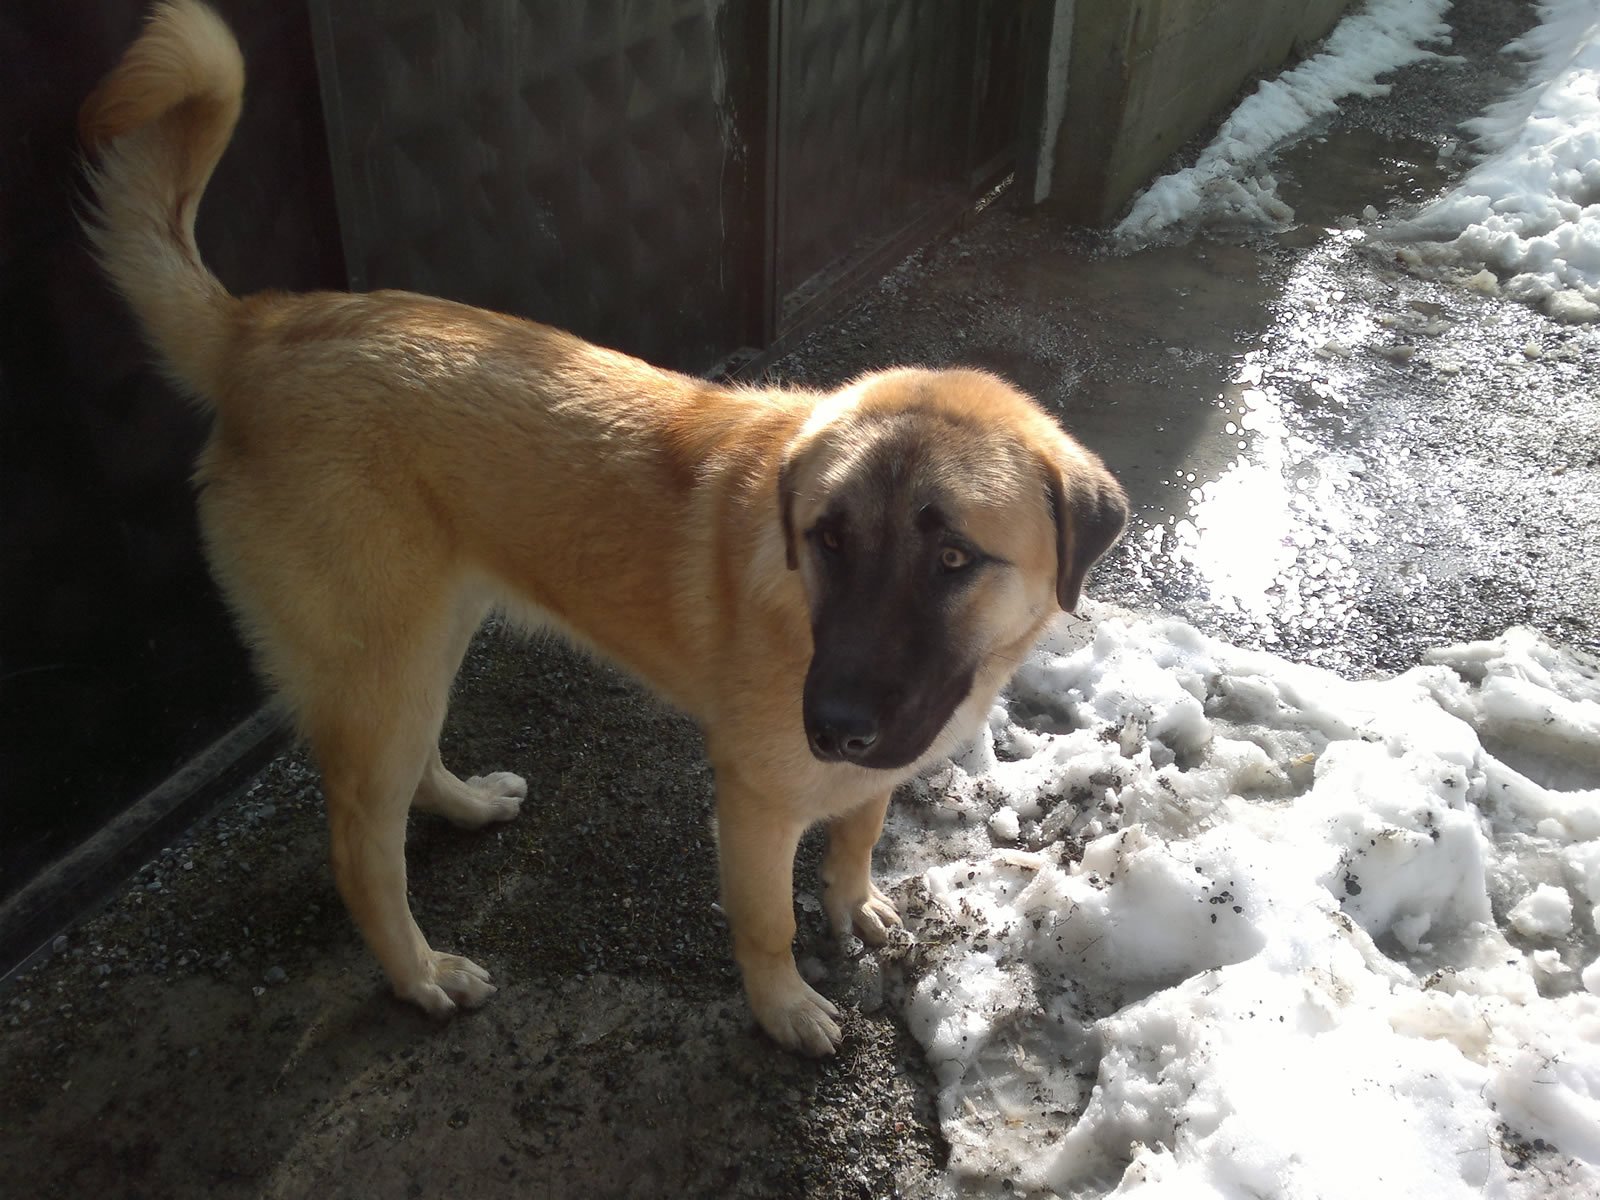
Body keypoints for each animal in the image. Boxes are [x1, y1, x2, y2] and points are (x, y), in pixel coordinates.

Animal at [80, 0, 1127, 1055]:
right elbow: (767, 921)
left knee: (410, 772)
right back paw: (419, 974)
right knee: (360, 848)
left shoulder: (874, 765)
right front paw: (784, 1007)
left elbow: (860, 833)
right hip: (380, 663)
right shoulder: (755, 802)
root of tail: (258, 332)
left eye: (952, 555)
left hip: (423, 642)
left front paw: (854, 899)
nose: (832, 723)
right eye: (829, 538)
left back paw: (465, 804)